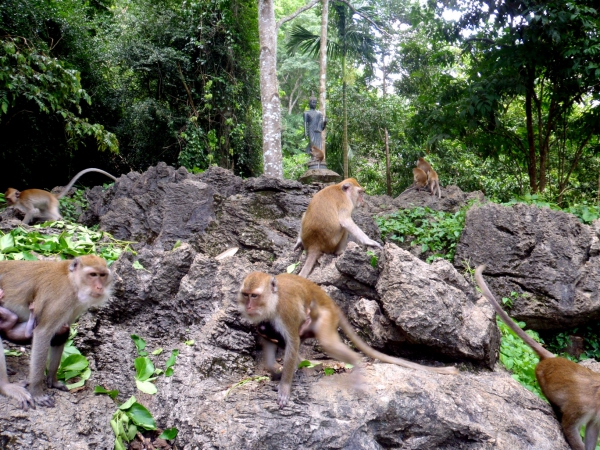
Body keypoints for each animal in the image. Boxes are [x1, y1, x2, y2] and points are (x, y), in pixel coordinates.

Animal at [239, 272, 460, 410]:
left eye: (254, 296)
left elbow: (292, 341)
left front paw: (285, 386)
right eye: (245, 295)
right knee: (270, 332)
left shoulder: (287, 312)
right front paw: (274, 371)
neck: (273, 302)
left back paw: (355, 362)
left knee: (326, 342)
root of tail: (331, 302)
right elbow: (266, 338)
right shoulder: (263, 317)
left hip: (326, 317)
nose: (248, 307)